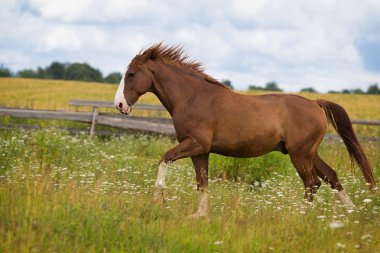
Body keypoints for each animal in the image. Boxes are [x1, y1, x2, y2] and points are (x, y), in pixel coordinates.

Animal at [114, 42, 376, 218]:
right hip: (309, 153)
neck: (192, 97)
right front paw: (199, 216)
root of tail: (315, 103)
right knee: (331, 177)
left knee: (312, 183)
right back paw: (353, 214)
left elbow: (164, 159)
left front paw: (158, 201)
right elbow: (202, 182)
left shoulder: (195, 144)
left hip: (300, 154)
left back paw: (299, 217)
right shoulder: (201, 151)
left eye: (131, 74)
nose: (120, 105)